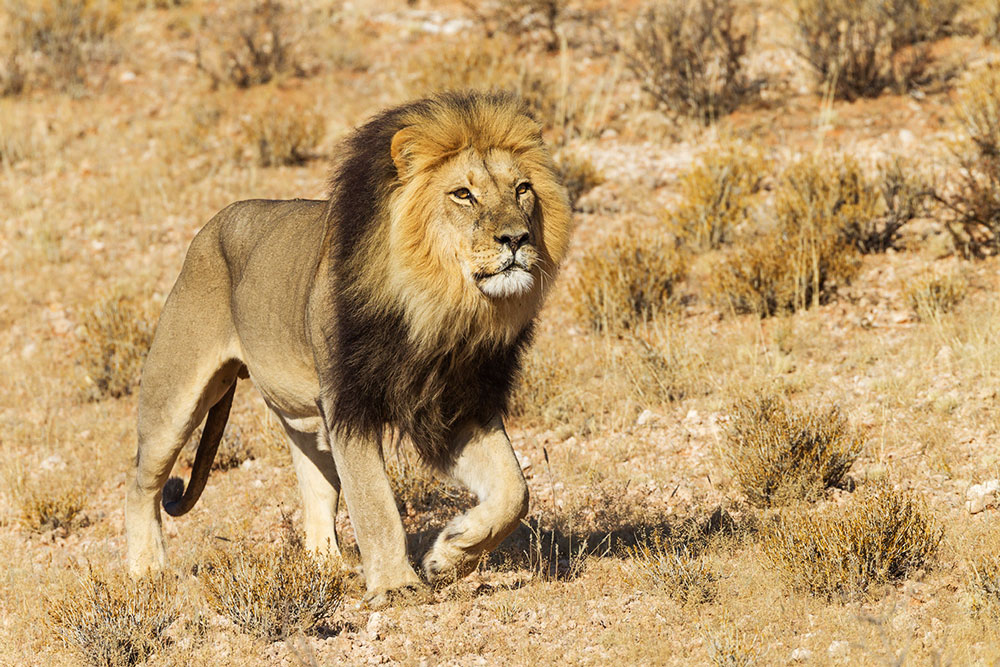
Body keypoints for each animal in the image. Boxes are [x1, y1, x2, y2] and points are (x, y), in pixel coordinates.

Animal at [125, 91, 576, 608]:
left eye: (522, 189)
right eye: (463, 194)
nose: (518, 238)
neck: (438, 306)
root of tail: (212, 225)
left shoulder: (455, 406)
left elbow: (514, 490)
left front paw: (450, 554)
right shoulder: (348, 404)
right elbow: (374, 501)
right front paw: (396, 585)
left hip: (302, 416)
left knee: (315, 485)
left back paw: (328, 567)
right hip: (174, 396)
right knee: (140, 483)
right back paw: (146, 572)